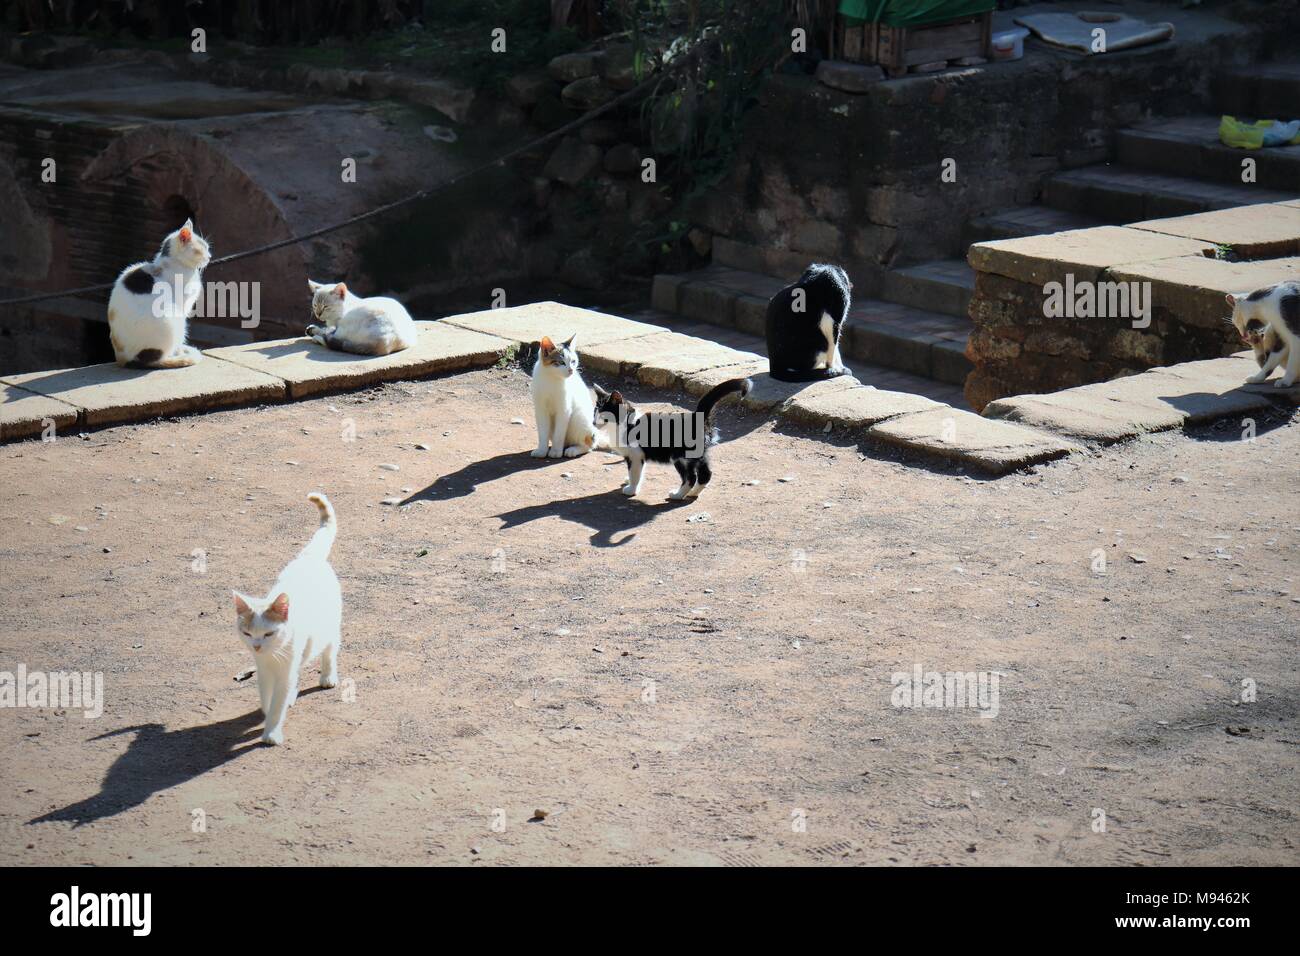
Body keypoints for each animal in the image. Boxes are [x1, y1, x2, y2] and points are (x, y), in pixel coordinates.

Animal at [106, 218, 209, 369]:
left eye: (207, 247)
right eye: (202, 248)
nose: (209, 257)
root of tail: (123, 359)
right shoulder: (182, 306)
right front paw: (180, 352)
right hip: (173, 319)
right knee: (157, 360)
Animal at [233, 494, 343, 749]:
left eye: (269, 633)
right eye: (247, 633)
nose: (257, 647)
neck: (273, 656)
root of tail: (308, 558)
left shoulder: (285, 668)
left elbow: (278, 703)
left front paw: (272, 733)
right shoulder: (263, 671)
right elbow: (268, 698)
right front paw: (269, 713)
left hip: (329, 629)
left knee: (329, 650)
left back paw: (327, 676)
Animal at [592, 377, 754, 502]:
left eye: (603, 413)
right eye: (595, 411)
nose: (593, 422)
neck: (623, 423)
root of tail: (696, 417)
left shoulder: (636, 455)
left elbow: (635, 473)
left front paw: (631, 489)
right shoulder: (634, 456)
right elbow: (636, 471)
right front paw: (629, 481)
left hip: (680, 457)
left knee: (690, 478)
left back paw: (678, 495)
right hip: (699, 455)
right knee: (706, 474)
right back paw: (693, 493)